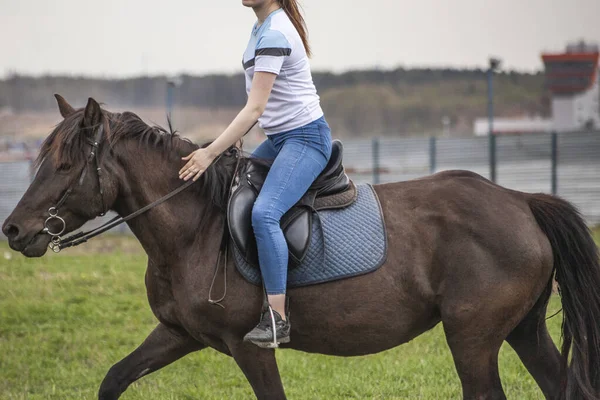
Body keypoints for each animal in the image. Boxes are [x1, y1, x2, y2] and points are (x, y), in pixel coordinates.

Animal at [1, 95, 600, 398]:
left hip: (473, 340)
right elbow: (115, 378)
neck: (195, 231)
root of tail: (520, 200)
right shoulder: (178, 334)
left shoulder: (249, 348)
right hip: (522, 330)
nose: (13, 231)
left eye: (64, 164)